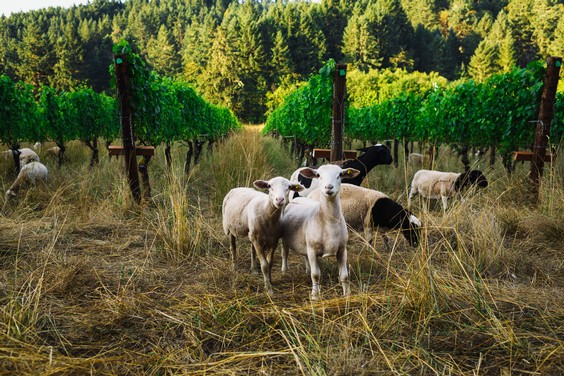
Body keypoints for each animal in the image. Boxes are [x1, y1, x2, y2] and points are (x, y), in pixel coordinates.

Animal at [280, 164, 360, 300]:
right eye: (318, 175)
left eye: (340, 174)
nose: (329, 187)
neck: (329, 222)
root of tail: (300, 198)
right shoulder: (312, 250)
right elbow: (316, 274)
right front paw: (315, 296)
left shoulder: (342, 249)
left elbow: (344, 275)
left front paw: (347, 294)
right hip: (286, 239)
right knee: (284, 253)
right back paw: (285, 271)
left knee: (304, 256)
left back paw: (306, 269)